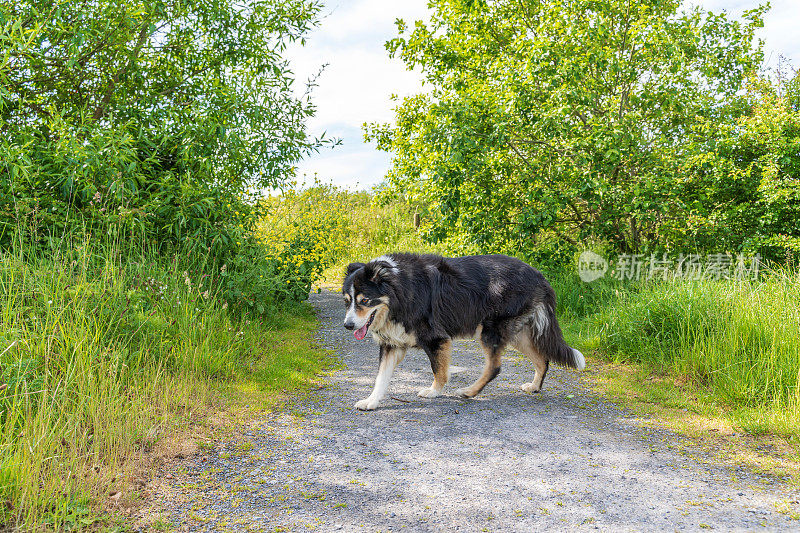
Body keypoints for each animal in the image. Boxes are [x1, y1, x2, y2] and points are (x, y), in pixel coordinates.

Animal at [340, 251, 584, 410]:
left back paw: (469, 392)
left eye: (365, 300)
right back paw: (534, 387)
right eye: (347, 301)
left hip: (491, 330)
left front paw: (434, 392)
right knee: (542, 360)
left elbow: (439, 370)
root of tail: (539, 276)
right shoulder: (391, 344)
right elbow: (381, 378)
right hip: (517, 333)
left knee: (494, 367)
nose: (348, 325)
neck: (398, 289)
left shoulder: (437, 339)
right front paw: (371, 401)